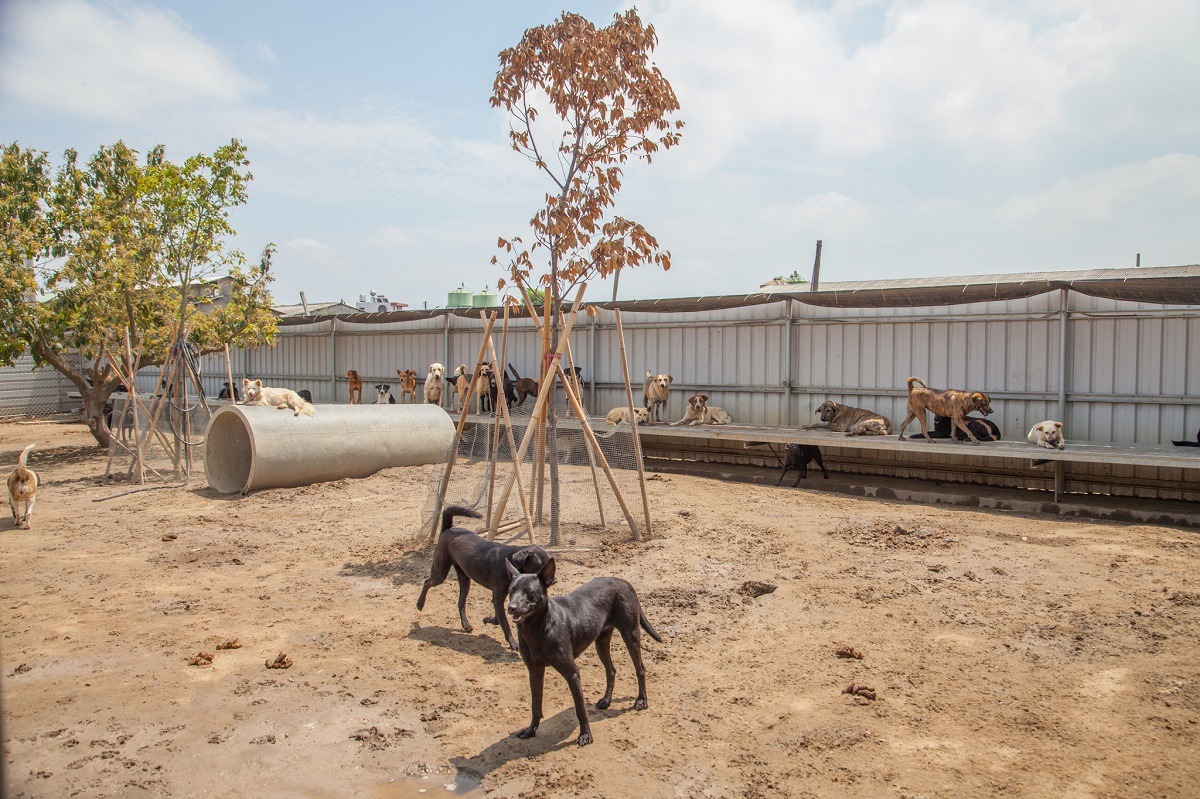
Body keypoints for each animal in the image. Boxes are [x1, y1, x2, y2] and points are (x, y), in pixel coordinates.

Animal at [417, 503, 552, 647]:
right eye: (540, 564)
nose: (553, 579)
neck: (510, 561)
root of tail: (448, 529)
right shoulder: (498, 597)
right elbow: (505, 623)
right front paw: (513, 642)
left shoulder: (498, 597)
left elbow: (498, 618)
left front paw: (489, 620)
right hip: (440, 573)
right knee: (427, 582)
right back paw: (420, 604)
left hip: (465, 579)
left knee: (460, 603)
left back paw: (466, 624)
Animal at [501, 554, 662, 748]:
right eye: (511, 590)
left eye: (529, 592)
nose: (511, 608)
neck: (538, 629)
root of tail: (623, 581)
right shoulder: (534, 671)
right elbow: (535, 705)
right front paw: (531, 730)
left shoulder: (572, 673)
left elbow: (580, 709)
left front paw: (586, 735)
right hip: (601, 642)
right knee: (611, 670)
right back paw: (606, 700)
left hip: (630, 635)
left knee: (640, 669)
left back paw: (641, 700)